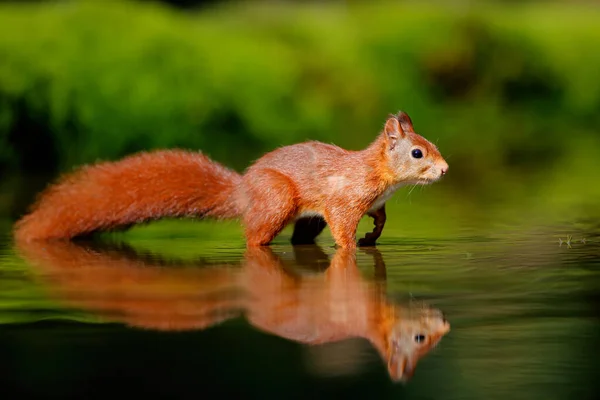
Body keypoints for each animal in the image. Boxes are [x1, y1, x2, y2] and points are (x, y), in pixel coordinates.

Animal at [14, 111, 448, 248]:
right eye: (417, 153)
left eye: (431, 143)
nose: (444, 169)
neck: (379, 174)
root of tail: (243, 191)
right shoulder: (343, 199)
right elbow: (342, 228)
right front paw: (352, 249)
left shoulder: (376, 203)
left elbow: (381, 218)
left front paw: (373, 235)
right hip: (277, 199)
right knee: (255, 239)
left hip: (303, 219)